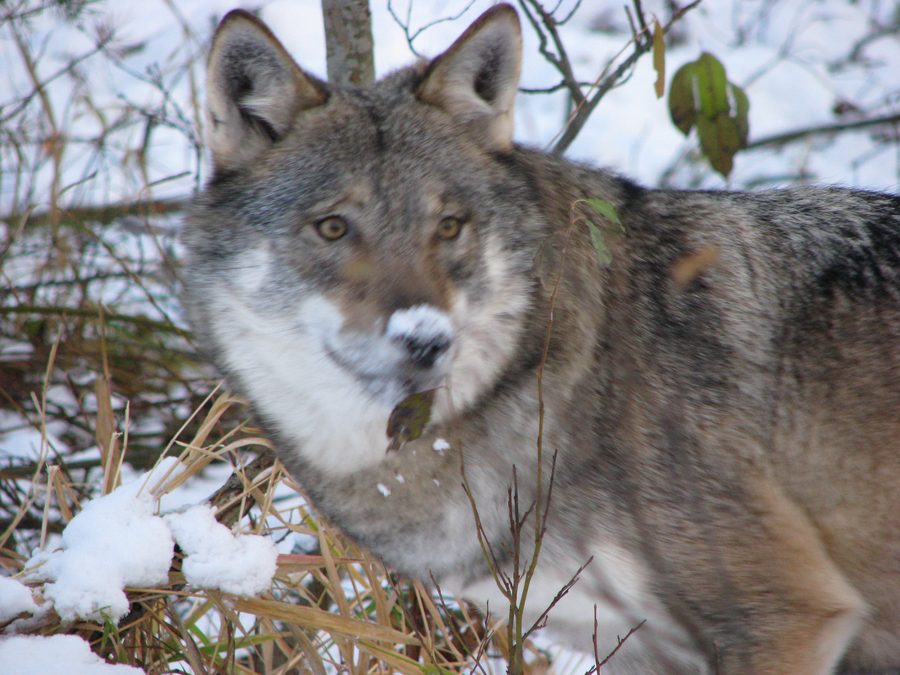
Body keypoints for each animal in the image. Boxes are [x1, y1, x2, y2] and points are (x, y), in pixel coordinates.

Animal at [180, 4, 900, 673]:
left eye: (448, 226)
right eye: (333, 228)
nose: (426, 341)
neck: (588, 373)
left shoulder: (785, 618)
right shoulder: (634, 644)